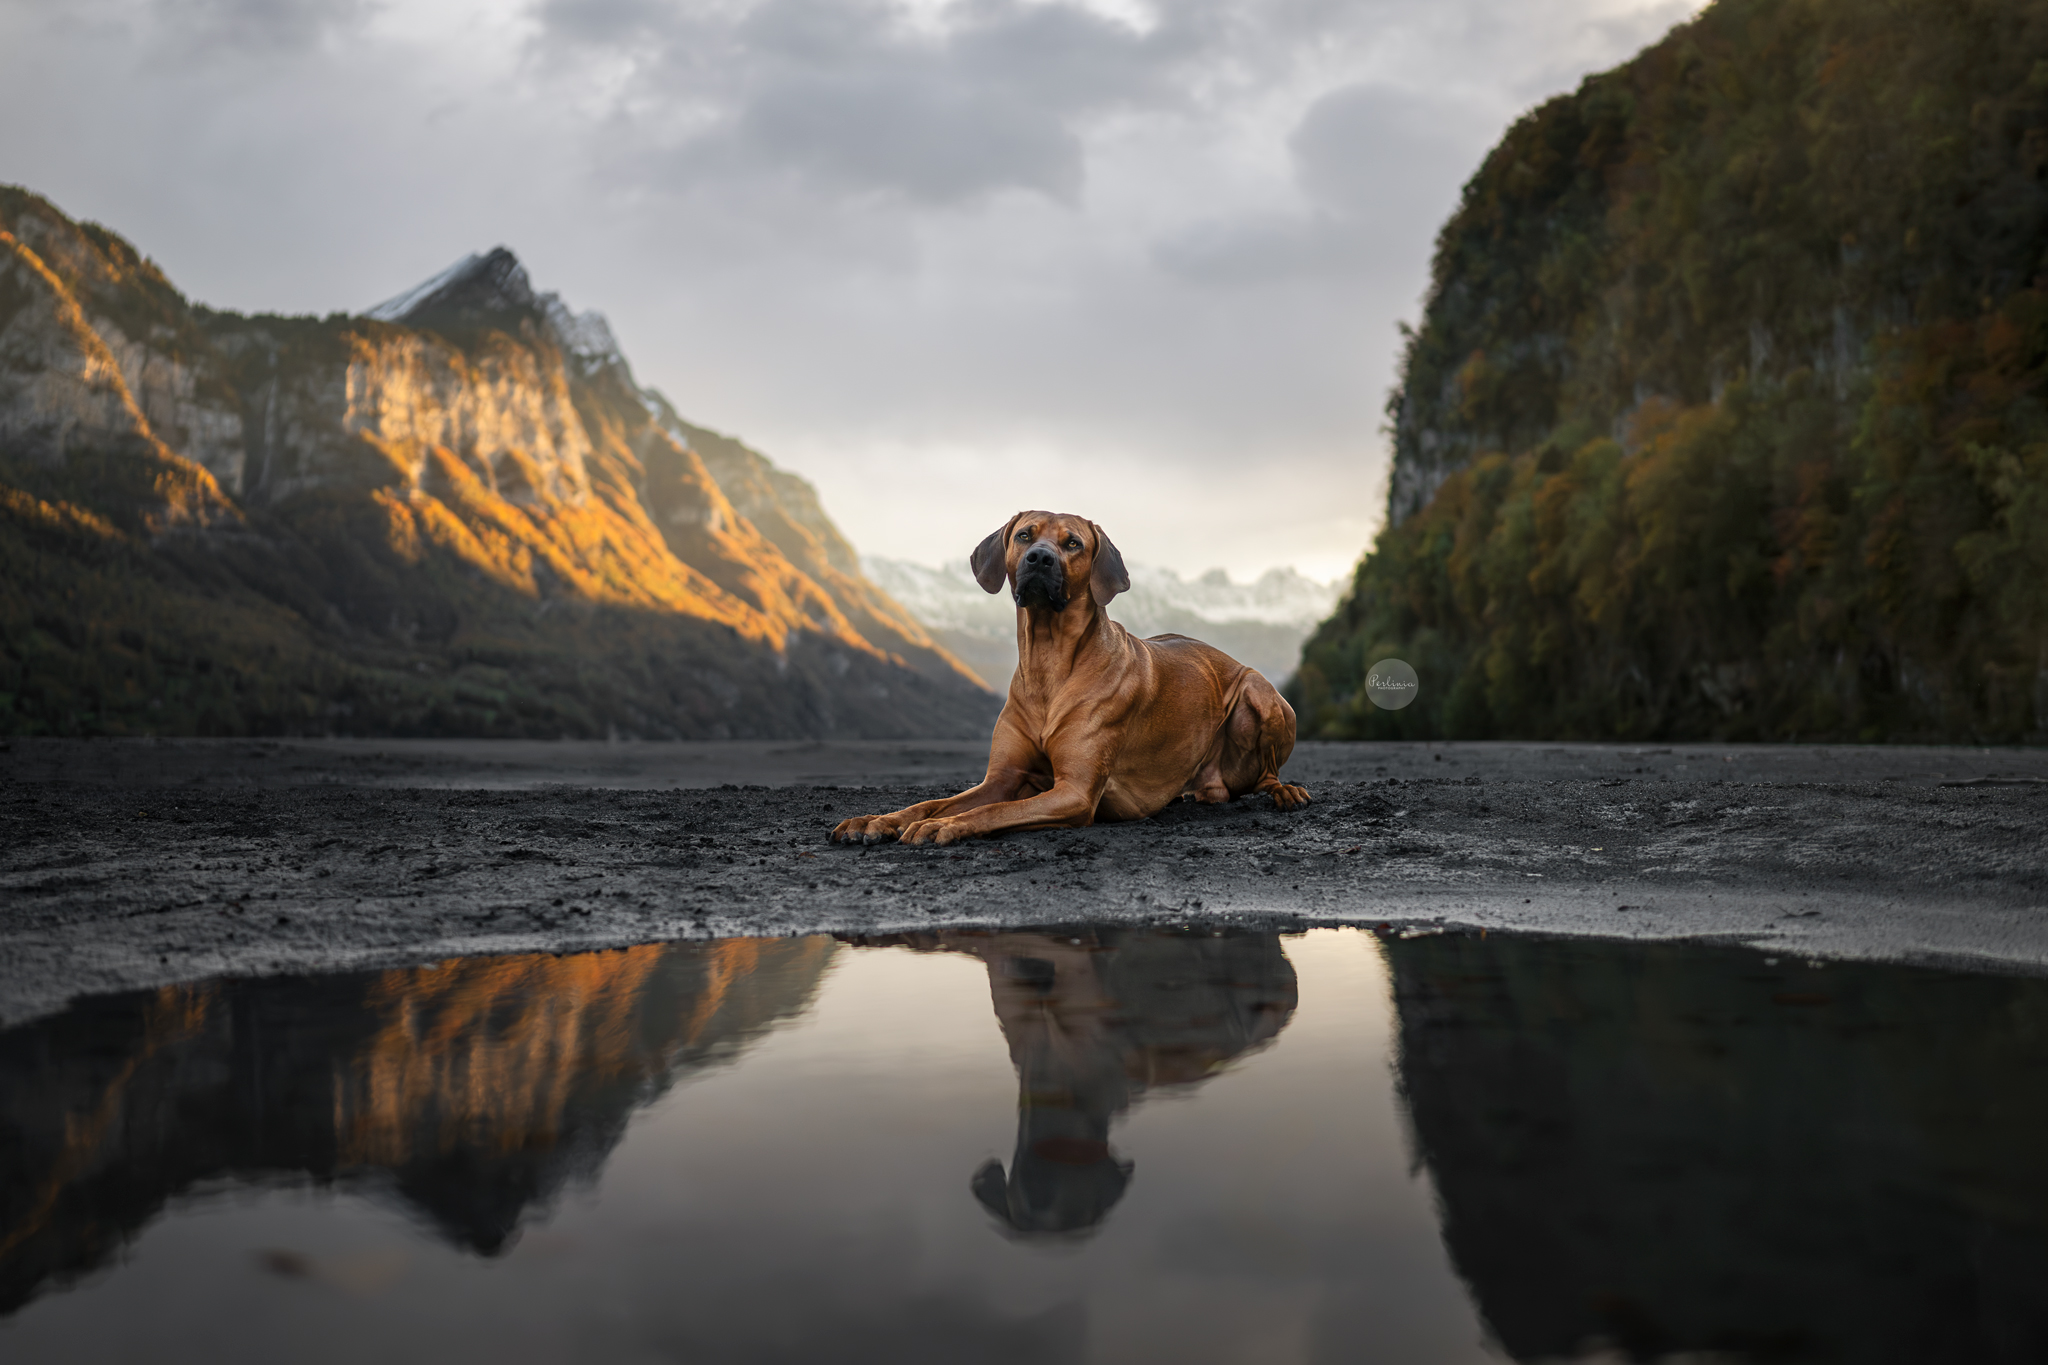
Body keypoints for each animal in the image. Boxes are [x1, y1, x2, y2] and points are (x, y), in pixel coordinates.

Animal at [831, 517, 1310, 847]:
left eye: (1073, 543)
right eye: (1025, 535)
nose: (1040, 559)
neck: (1048, 662)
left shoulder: (1075, 793)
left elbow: (997, 811)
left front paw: (941, 826)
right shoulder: (1002, 776)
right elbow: (933, 801)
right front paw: (876, 820)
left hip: (1259, 692)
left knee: (1267, 773)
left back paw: (1286, 791)